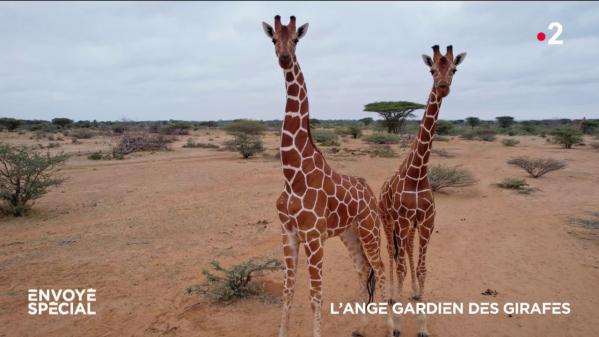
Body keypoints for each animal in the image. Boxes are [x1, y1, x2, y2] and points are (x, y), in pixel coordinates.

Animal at [262, 15, 390, 336]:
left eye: (296, 39)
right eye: (273, 39)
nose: (284, 58)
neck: (292, 174)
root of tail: (369, 191)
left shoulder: (313, 236)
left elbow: (315, 295)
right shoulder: (288, 233)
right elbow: (288, 290)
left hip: (369, 228)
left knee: (381, 269)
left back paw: (389, 326)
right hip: (349, 232)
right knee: (363, 269)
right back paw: (361, 326)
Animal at [380, 45, 468, 336]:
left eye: (454, 69)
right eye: (431, 70)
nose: (442, 86)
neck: (418, 174)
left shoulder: (427, 221)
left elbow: (421, 268)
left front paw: (422, 324)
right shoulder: (403, 220)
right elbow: (400, 265)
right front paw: (396, 325)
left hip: (409, 226)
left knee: (405, 251)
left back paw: (413, 293)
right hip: (388, 221)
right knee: (391, 254)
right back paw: (391, 298)